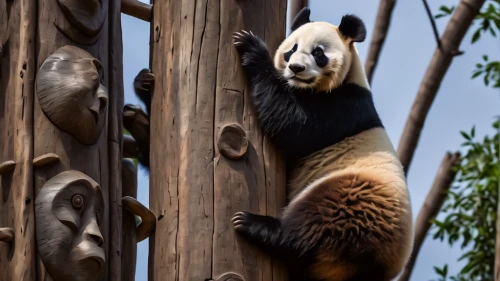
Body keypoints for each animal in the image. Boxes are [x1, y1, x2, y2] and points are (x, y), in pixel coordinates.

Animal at [230, 7, 414, 280]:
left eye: (318, 53)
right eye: (292, 49)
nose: (296, 68)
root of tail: (371, 267)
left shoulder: (344, 106)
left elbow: (291, 124)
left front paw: (251, 47)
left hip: (353, 196)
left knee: (314, 224)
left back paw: (256, 226)